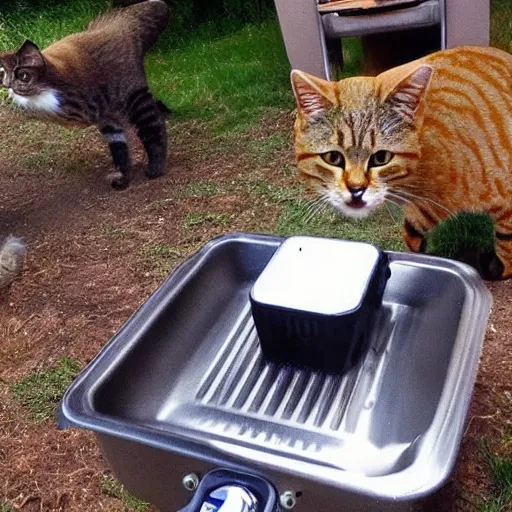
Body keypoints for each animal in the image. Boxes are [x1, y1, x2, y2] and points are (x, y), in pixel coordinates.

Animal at [0, 0, 172, 189]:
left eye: (23, 75)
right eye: (3, 74)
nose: (7, 86)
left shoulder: (134, 97)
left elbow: (152, 131)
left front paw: (156, 168)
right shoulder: (108, 121)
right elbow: (119, 151)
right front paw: (124, 177)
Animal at [292, 46, 512, 280]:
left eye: (381, 158)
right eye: (333, 158)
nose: (356, 189)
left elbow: (506, 252)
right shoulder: (420, 215)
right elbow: (413, 238)